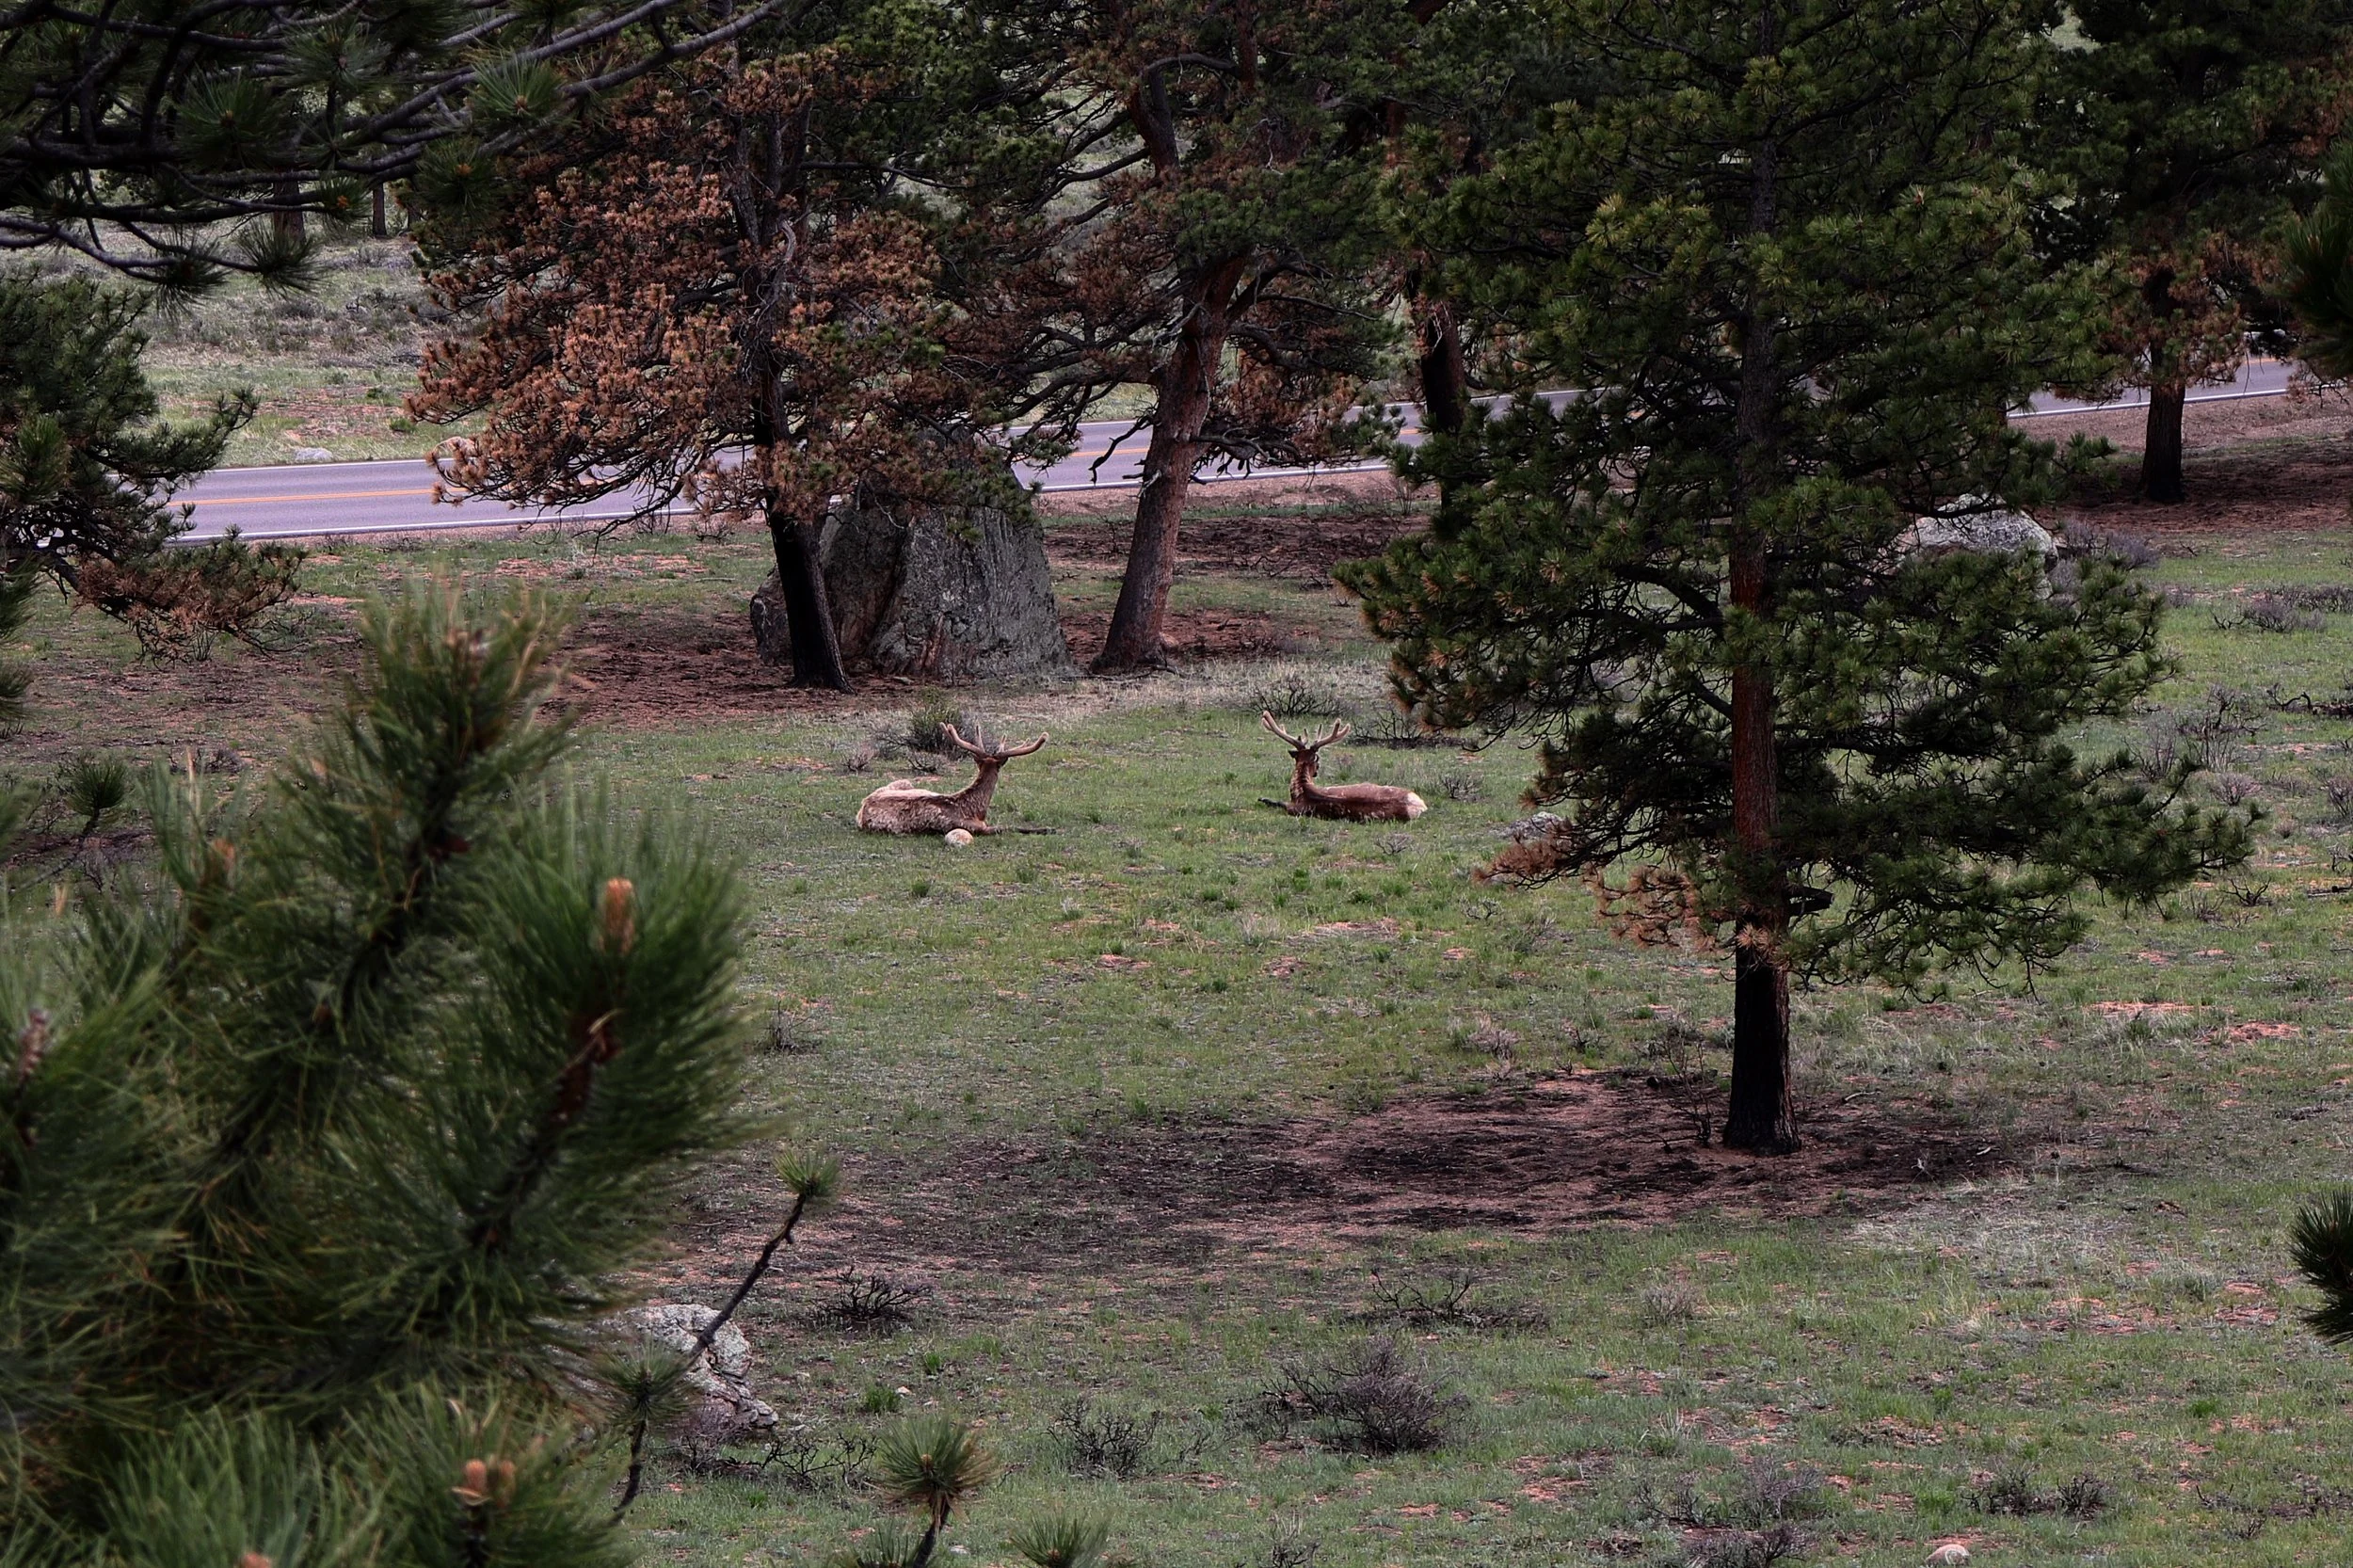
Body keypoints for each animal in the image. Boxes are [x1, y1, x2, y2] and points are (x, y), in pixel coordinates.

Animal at [855, 724, 1048, 836]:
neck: (974, 809)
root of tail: (863, 805)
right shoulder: (976, 828)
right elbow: (1011, 827)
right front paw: (1047, 829)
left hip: (905, 783)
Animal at [1259, 712, 1428, 822]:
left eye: (1318, 760)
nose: (1316, 772)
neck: (1301, 790)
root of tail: (1420, 806)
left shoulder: (1294, 809)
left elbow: (1279, 802)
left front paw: (1263, 798)